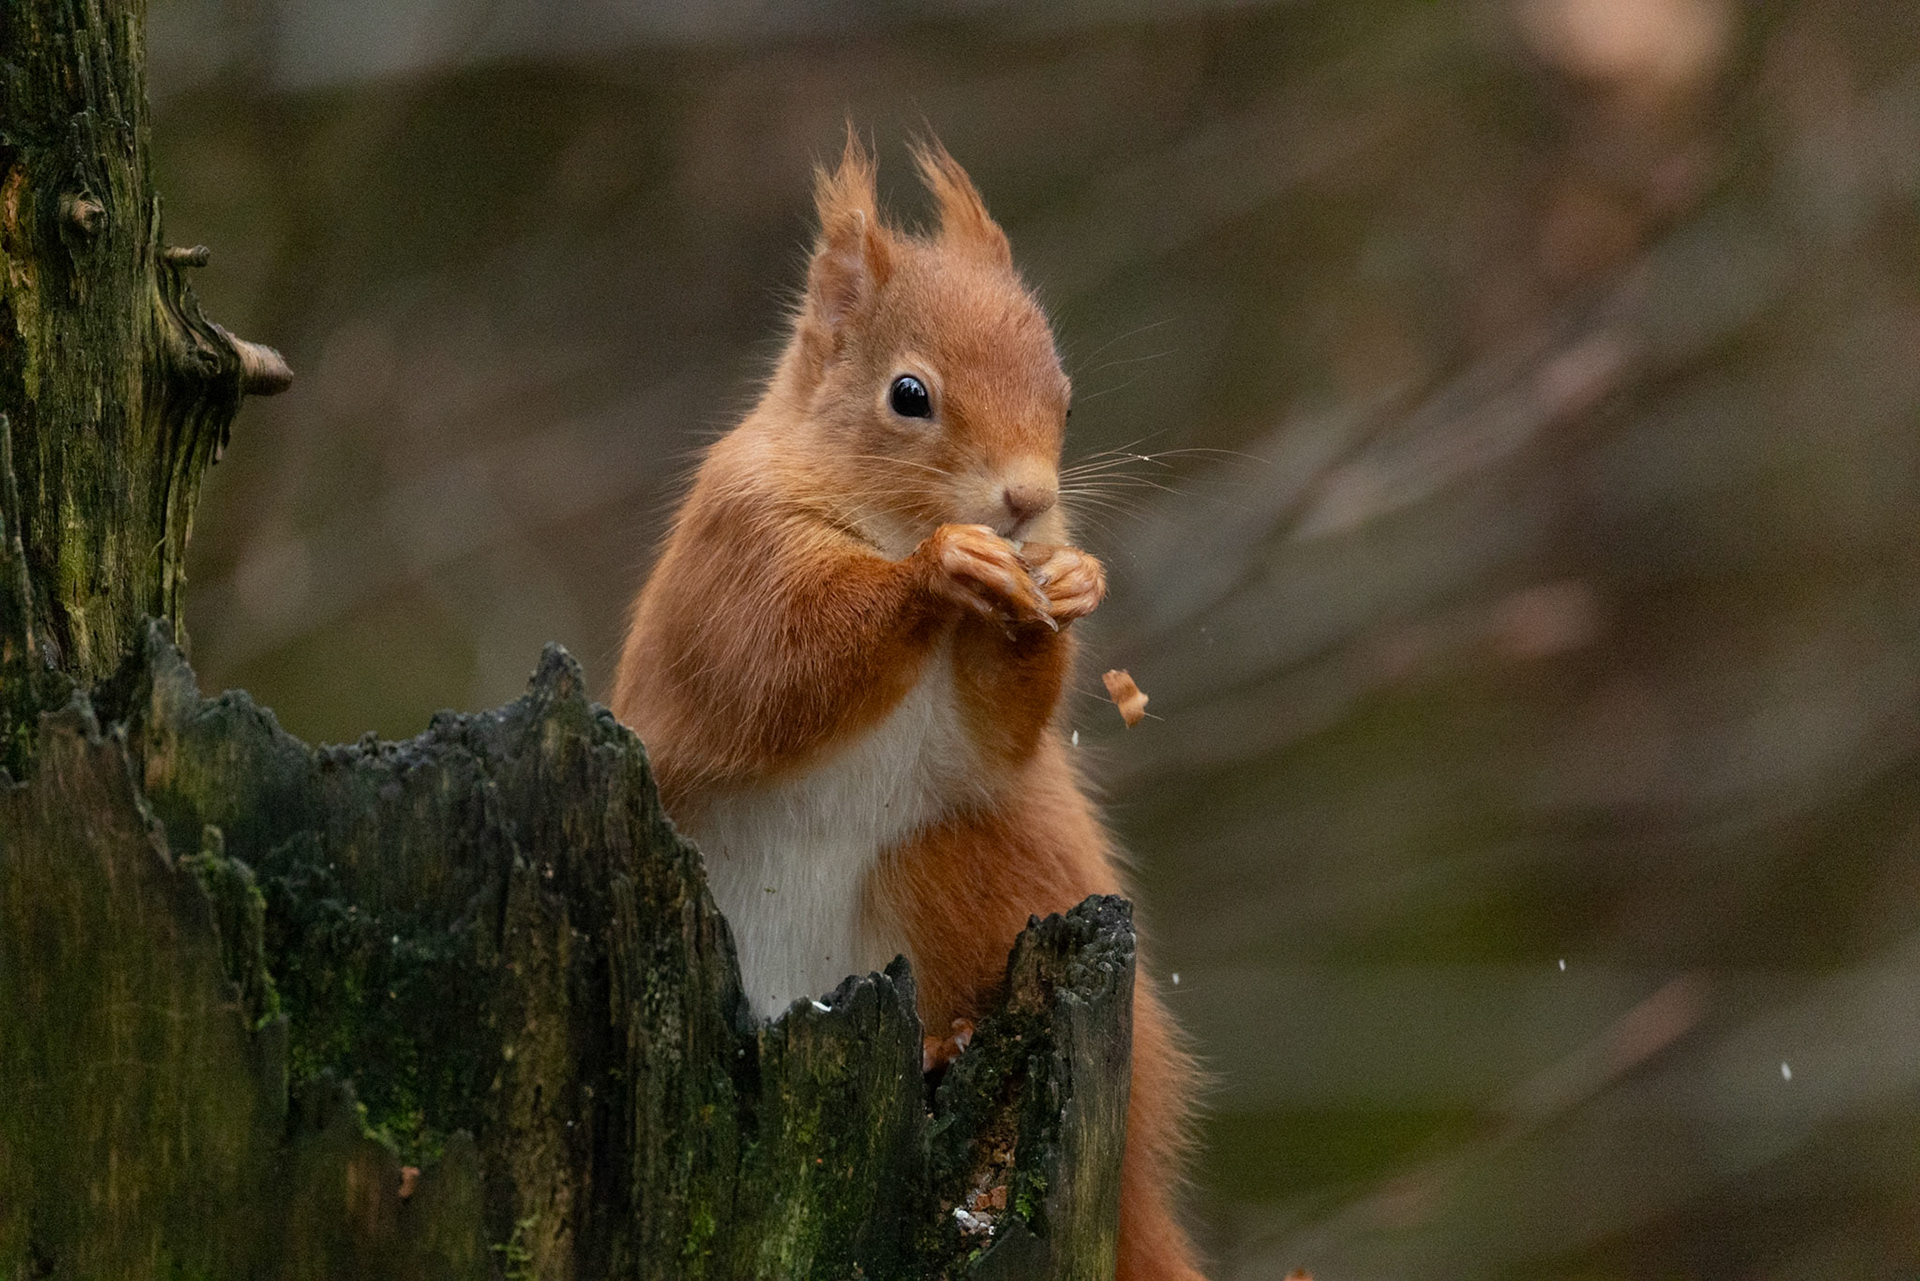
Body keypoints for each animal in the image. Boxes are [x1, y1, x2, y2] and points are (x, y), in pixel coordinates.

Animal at [611, 133, 1205, 1281]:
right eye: (909, 395)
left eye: (1066, 399)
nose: (1029, 503)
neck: (880, 521)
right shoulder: (735, 560)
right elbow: (779, 665)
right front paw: (941, 570)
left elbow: (1001, 727)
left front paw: (1062, 591)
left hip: (961, 860)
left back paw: (951, 1037)